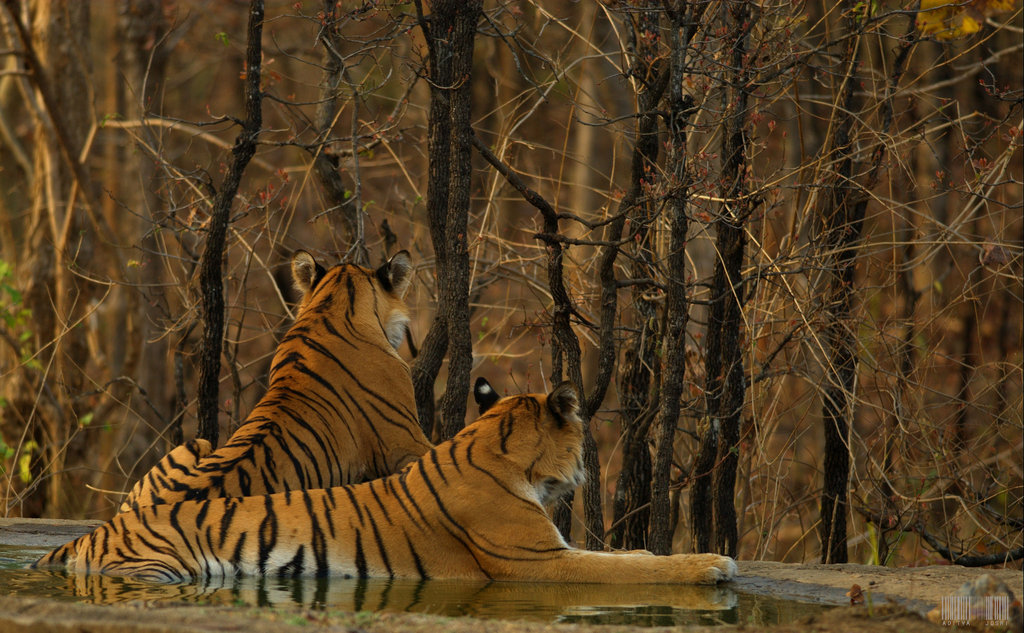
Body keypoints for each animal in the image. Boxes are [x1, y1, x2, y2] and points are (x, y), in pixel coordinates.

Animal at [35, 380, 737, 585]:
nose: (588, 470)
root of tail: (93, 532)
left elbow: (629, 556)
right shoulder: (537, 562)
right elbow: (629, 569)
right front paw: (712, 564)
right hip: (161, 569)